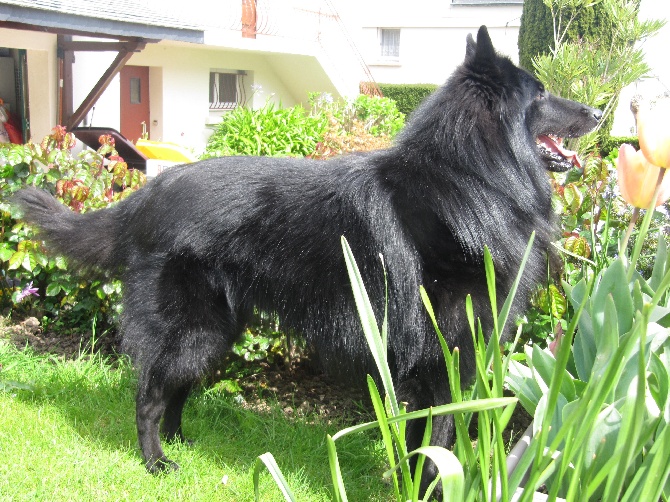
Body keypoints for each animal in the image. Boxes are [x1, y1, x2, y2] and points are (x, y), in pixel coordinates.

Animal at [14, 26, 604, 490]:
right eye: (542, 94)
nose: (600, 111)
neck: (469, 180)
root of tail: (147, 194)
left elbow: (421, 441)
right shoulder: (444, 359)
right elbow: (438, 443)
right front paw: (430, 488)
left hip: (215, 331)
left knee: (176, 387)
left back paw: (184, 444)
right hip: (189, 329)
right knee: (150, 393)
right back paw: (156, 461)